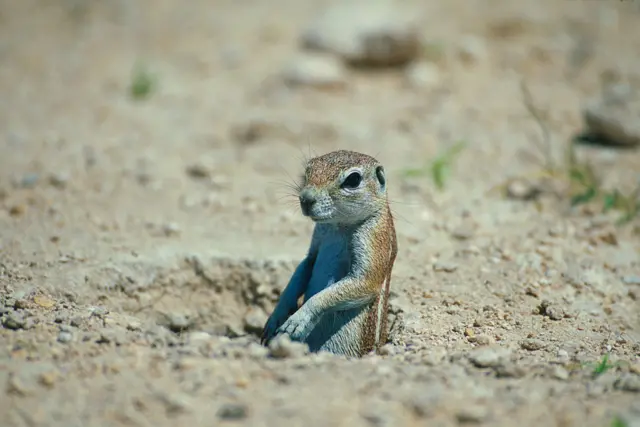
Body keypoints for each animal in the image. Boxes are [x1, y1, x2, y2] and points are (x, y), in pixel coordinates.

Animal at [260, 150, 396, 358]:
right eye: (308, 169)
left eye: (353, 179)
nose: (305, 198)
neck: (337, 225)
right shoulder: (315, 243)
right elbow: (303, 267)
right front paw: (276, 315)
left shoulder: (374, 239)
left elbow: (364, 281)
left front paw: (298, 319)